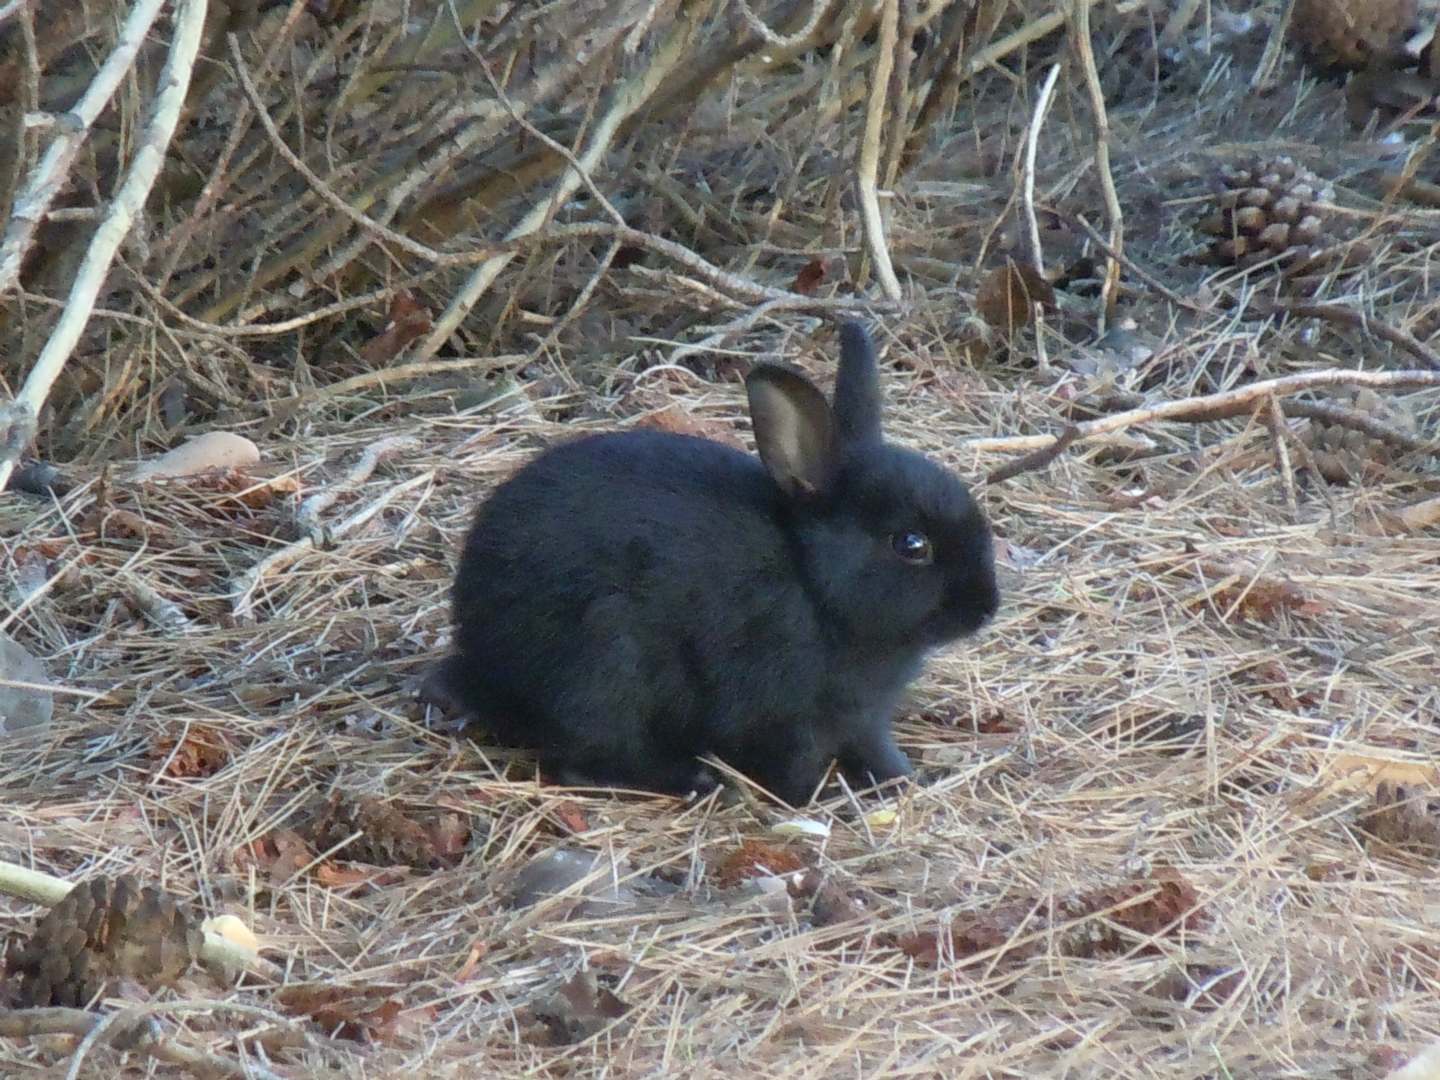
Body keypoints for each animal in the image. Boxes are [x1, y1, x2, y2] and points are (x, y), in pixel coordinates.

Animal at [429, 321, 1002, 806]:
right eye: (911, 544)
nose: (987, 607)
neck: (813, 583)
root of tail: (480, 657)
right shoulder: (784, 715)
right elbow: (792, 768)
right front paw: (820, 801)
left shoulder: (863, 719)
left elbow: (874, 749)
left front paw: (904, 781)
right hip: (602, 664)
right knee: (581, 760)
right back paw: (693, 781)